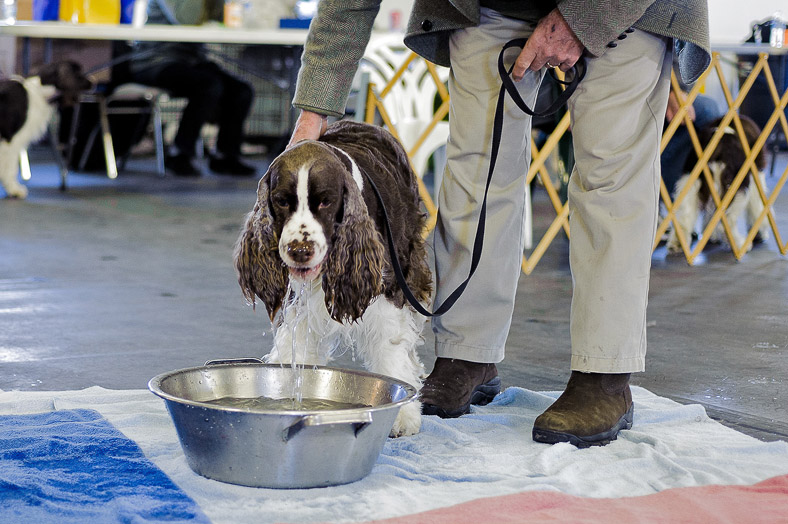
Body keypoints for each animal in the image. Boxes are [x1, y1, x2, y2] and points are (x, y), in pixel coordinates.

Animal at [0, 61, 91, 199]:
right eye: (78, 73)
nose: (93, 81)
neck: (39, 90)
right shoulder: (12, 140)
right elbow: (10, 168)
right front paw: (14, 190)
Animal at [232, 121, 430, 436]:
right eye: (281, 201)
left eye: (325, 202)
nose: (300, 251)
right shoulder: (298, 300)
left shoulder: (387, 290)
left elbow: (391, 347)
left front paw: (402, 414)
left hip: (411, 266)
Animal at [668, 114, 772, 254]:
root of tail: (719, 146)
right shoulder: (755, 178)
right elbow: (759, 208)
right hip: (736, 189)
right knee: (727, 220)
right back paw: (738, 243)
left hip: (690, 182)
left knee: (684, 216)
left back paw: (677, 243)